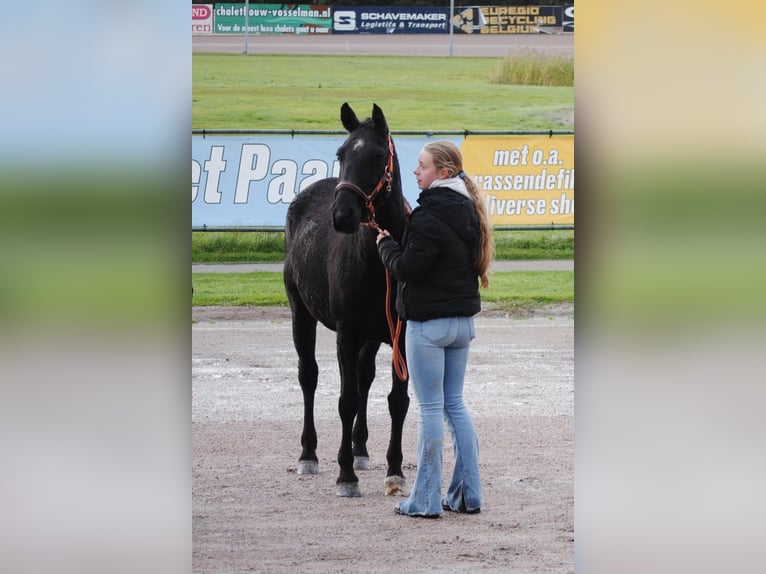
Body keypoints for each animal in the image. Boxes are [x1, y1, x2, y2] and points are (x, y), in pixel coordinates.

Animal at [283, 103, 410, 497]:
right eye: (340, 154)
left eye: (378, 156)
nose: (342, 215)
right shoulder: (347, 333)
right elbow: (346, 400)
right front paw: (345, 475)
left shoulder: (401, 335)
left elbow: (397, 400)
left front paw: (395, 470)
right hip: (301, 314)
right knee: (309, 376)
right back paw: (309, 454)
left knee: (364, 376)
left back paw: (361, 448)